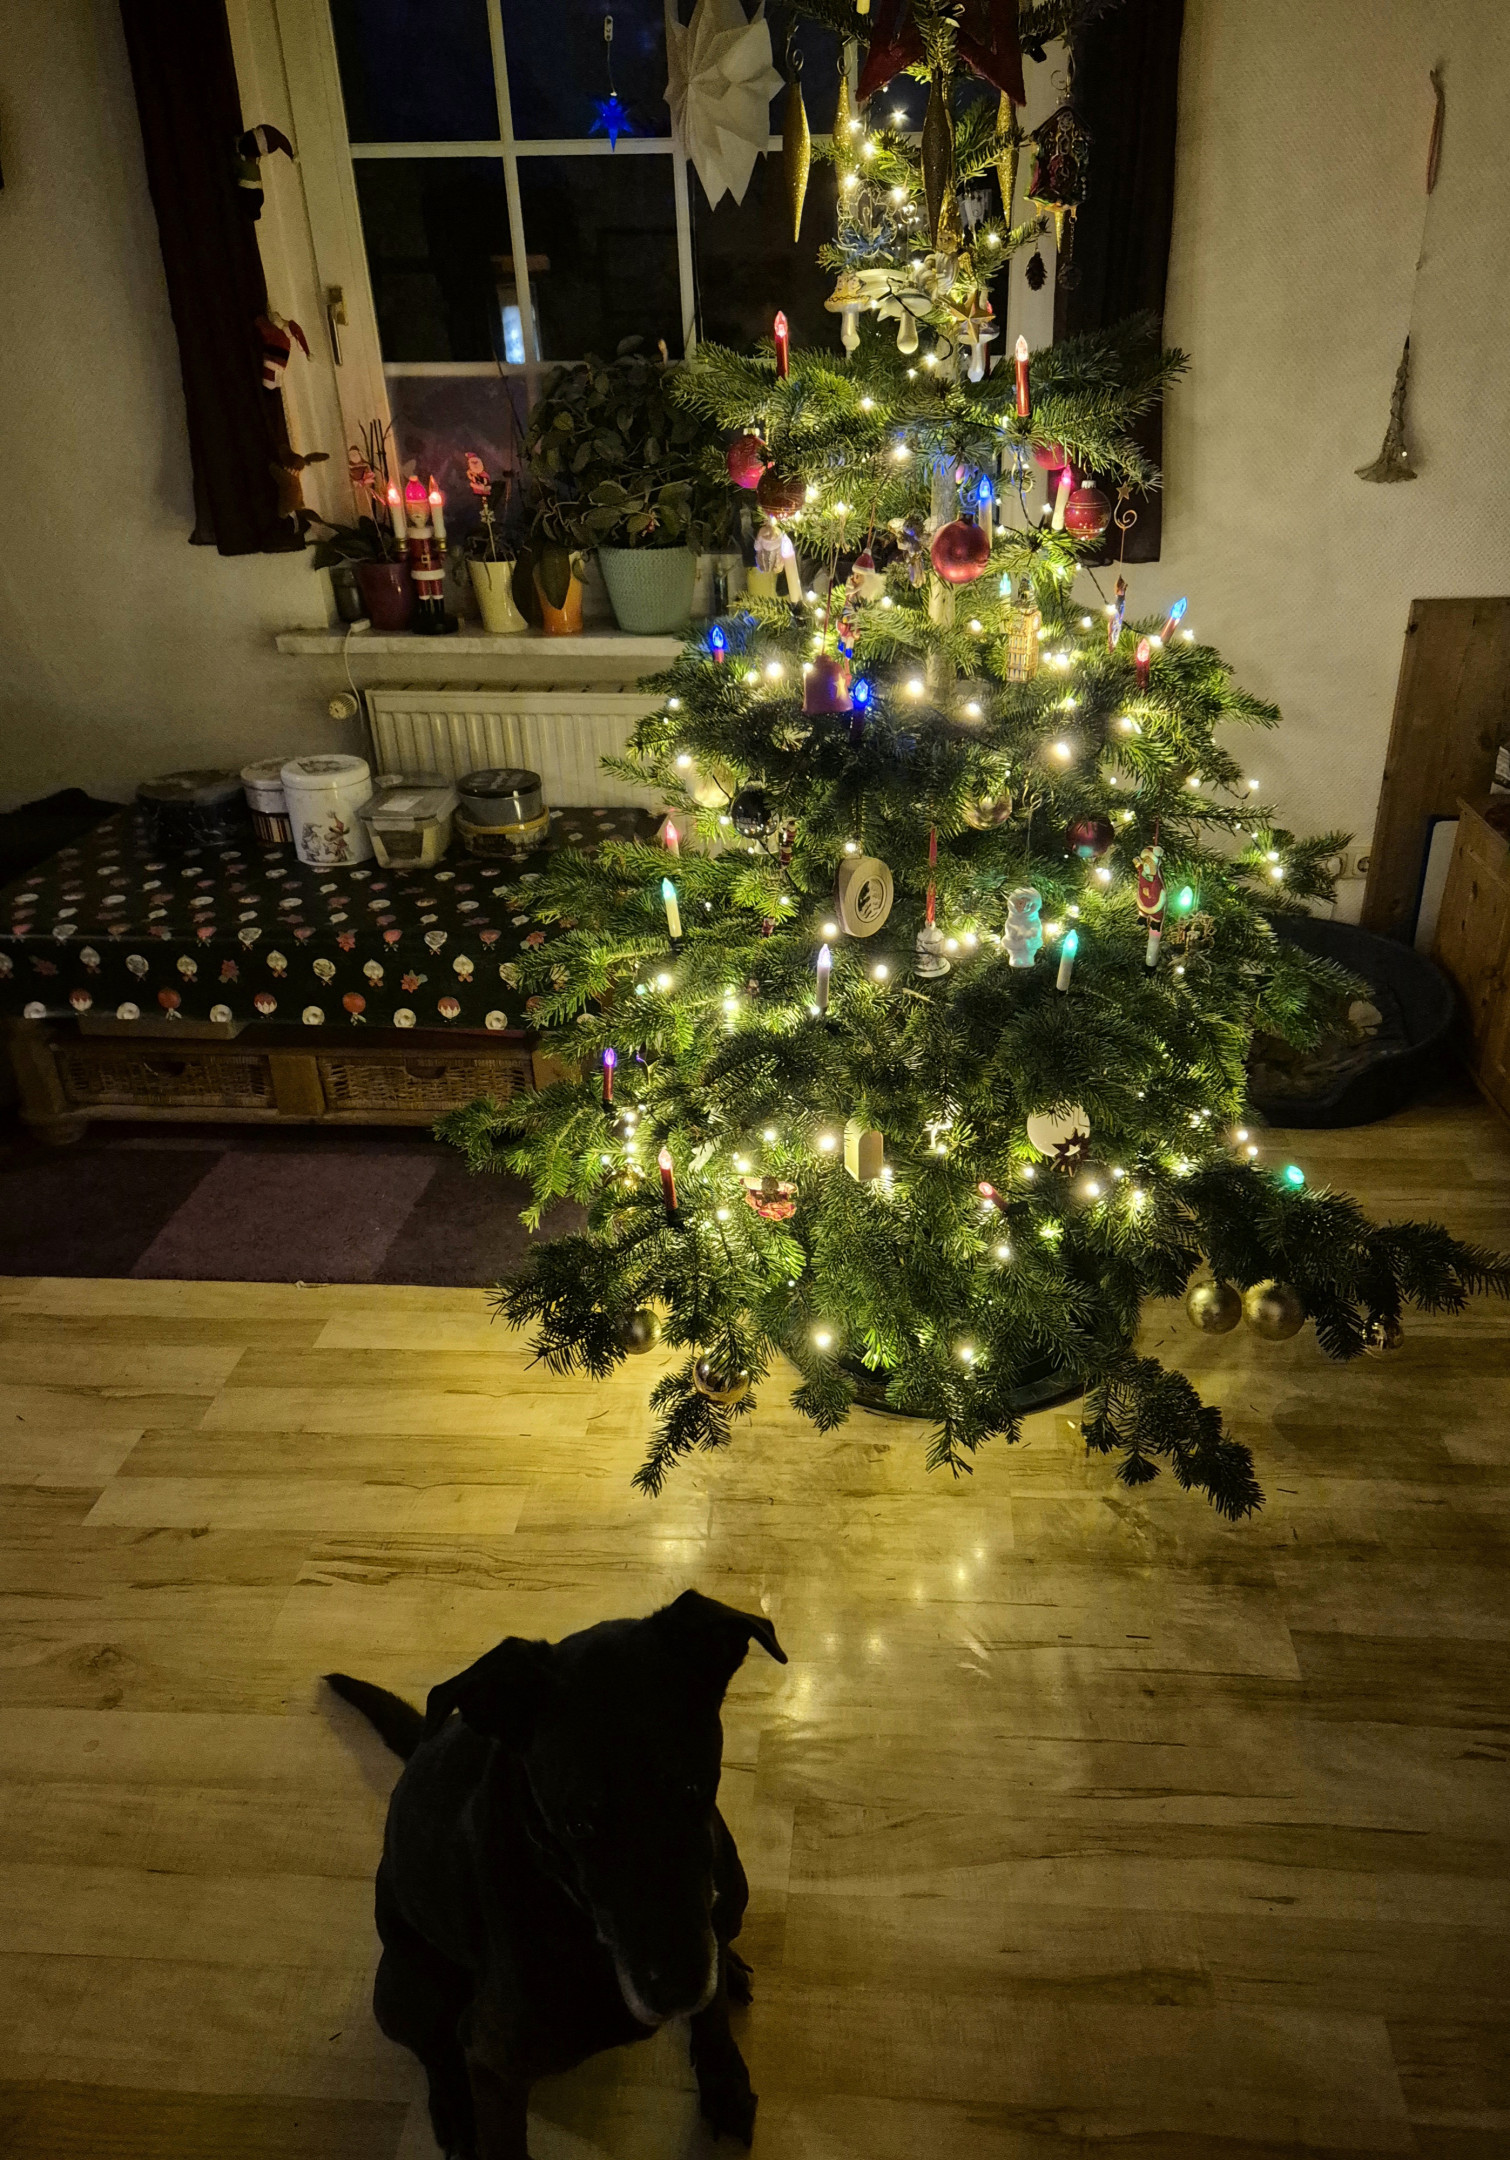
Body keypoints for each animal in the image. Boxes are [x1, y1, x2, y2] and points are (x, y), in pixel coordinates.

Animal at [326, 1589, 786, 2160]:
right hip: (403, 1987)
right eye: (577, 1824)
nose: (676, 1991)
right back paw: (454, 2109)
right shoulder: (496, 2065)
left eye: (690, 1788)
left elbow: (716, 2019)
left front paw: (725, 2085)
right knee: (436, 2051)